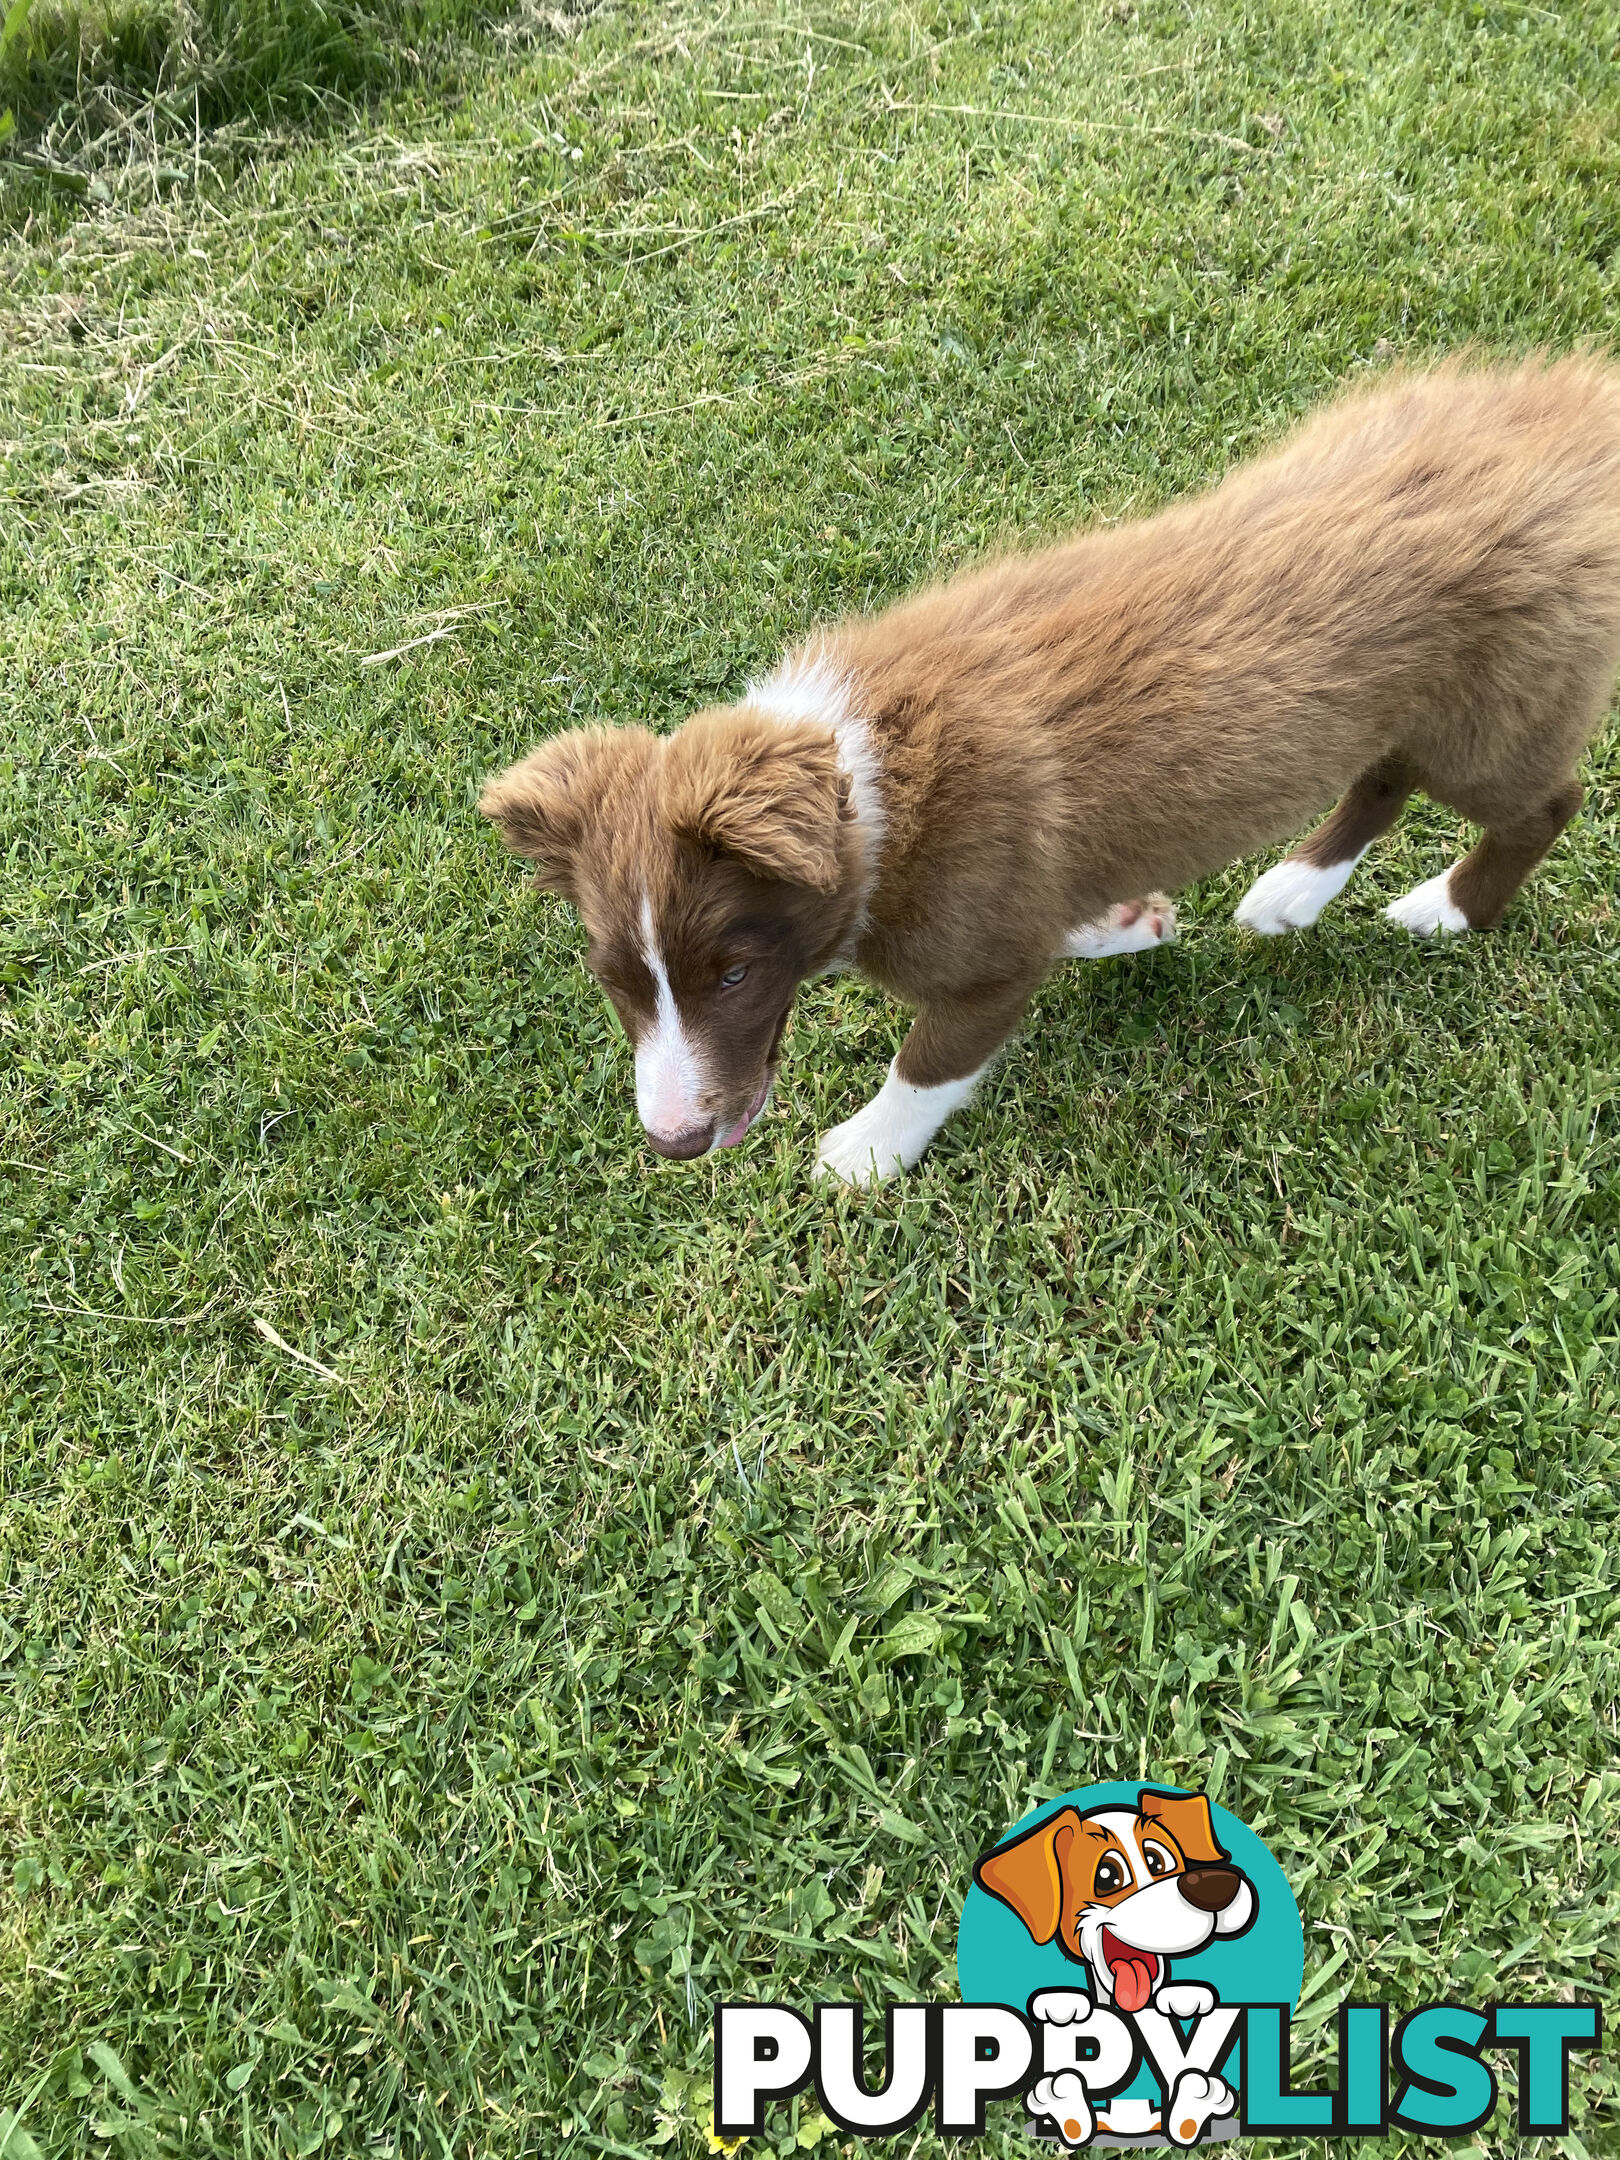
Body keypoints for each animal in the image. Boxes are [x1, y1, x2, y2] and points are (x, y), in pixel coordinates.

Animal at [479, 362, 1620, 1192]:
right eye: (615, 983)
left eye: (732, 975)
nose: (671, 1143)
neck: (869, 784)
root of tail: (1572, 414)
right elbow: (1065, 915)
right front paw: (1124, 922)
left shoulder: (978, 960)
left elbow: (932, 1055)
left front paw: (867, 1151)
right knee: (1381, 777)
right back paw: (1293, 892)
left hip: (1494, 714)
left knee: (1540, 802)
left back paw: (1449, 909)